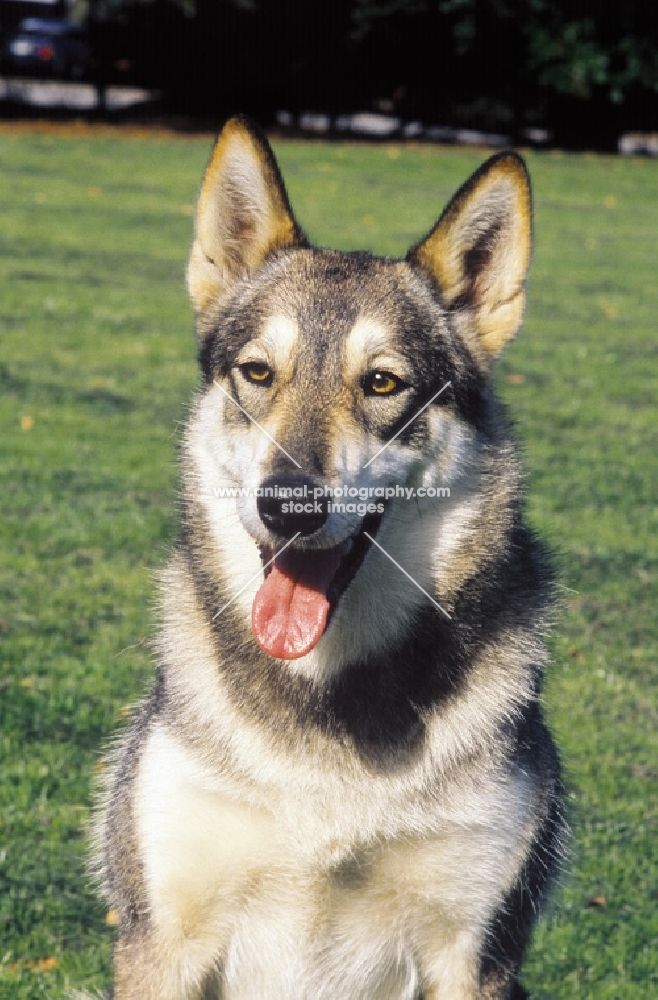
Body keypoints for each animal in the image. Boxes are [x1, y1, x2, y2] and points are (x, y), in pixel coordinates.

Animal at [93, 113, 564, 996]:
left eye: (382, 384)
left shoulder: (476, 955)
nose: (289, 504)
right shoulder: (161, 941)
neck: (328, 705)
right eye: (257, 373)